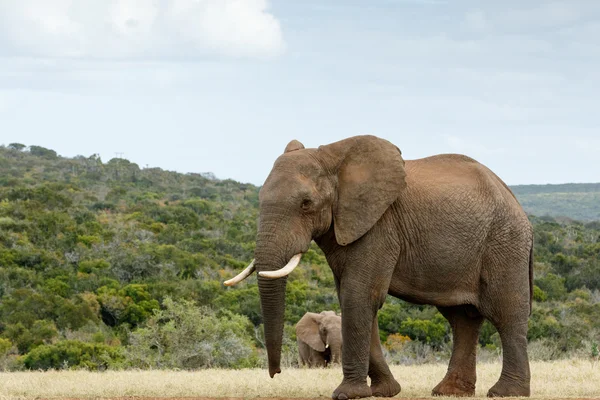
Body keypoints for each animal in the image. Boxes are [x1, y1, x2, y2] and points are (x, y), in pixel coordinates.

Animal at [226, 136, 536, 398]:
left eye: (306, 204)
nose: (275, 373)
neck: (333, 158)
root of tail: (516, 202)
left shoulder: (378, 226)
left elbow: (359, 295)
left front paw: (347, 395)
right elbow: (354, 297)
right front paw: (383, 392)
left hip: (504, 243)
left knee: (506, 312)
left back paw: (506, 393)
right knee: (462, 319)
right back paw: (448, 392)